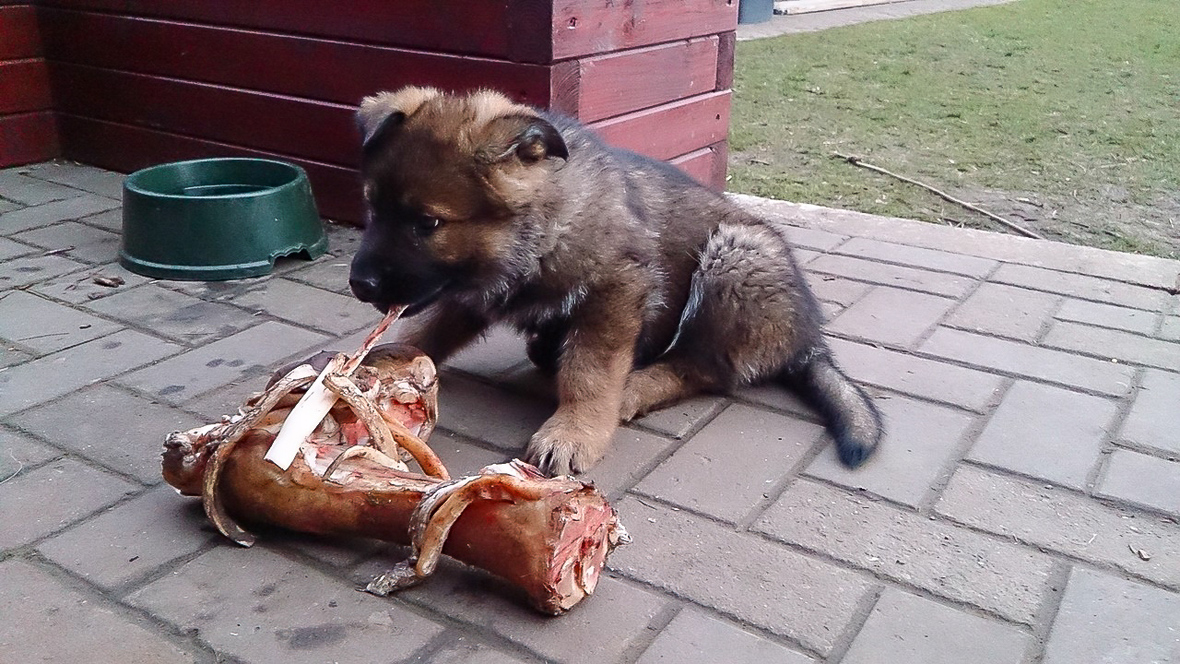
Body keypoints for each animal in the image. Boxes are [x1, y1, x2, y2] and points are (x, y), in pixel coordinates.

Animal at [344, 87, 882, 478]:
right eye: (371, 207)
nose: (359, 285)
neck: (545, 225)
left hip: (734, 257)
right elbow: (431, 328)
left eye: (427, 223)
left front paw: (575, 431)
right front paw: (384, 359)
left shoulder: (616, 289)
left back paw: (635, 387)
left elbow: (591, 372)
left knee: (703, 368)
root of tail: (806, 339)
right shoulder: (471, 290)